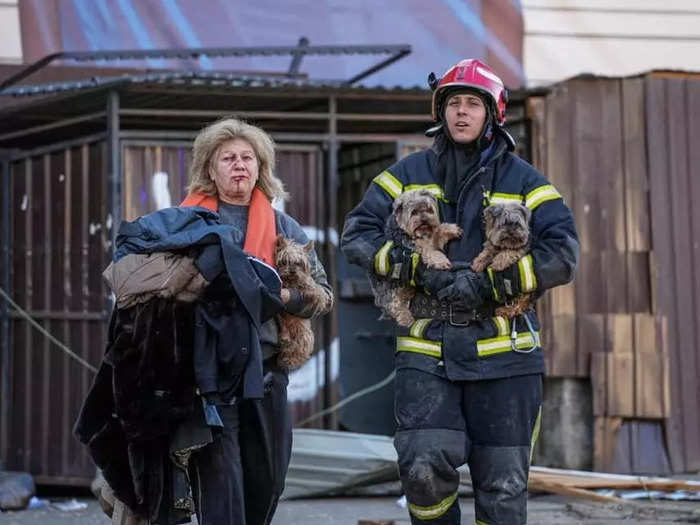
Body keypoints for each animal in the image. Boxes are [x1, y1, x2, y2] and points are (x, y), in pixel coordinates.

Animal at [274, 233, 332, 368]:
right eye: (285, 261)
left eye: (298, 263)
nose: (292, 270)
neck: (291, 281)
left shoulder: (307, 282)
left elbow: (315, 287)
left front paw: (314, 294)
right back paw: (286, 342)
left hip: (304, 333)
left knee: (298, 349)